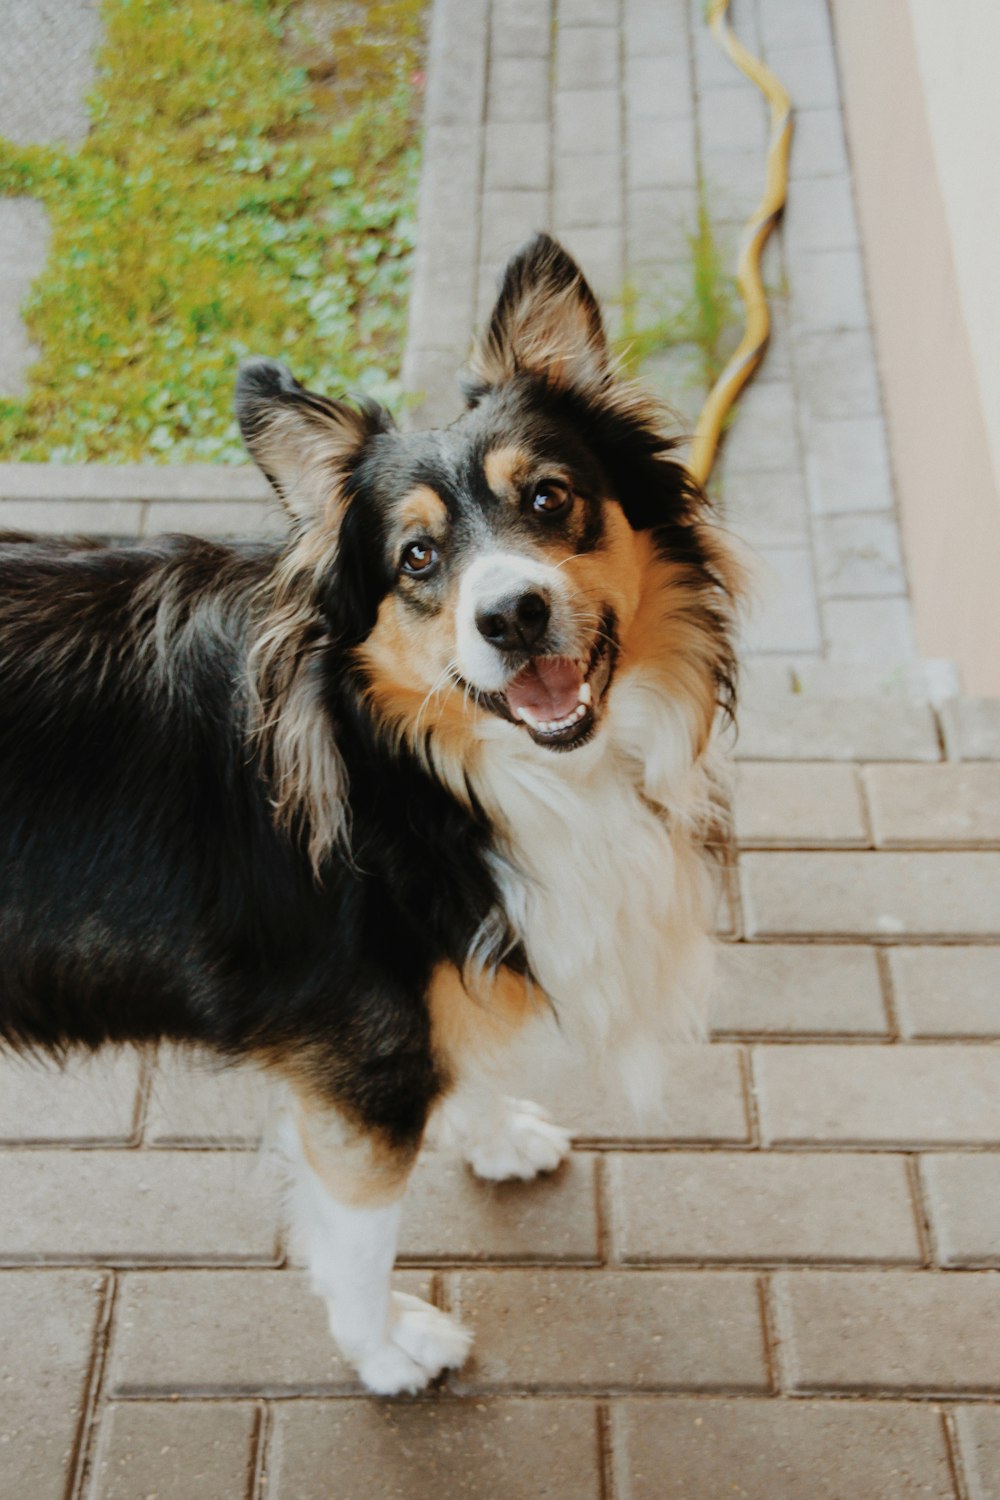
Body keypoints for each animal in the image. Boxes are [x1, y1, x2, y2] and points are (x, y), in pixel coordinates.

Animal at [0, 234, 734, 1392]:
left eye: (551, 499)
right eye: (417, 559)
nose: (512, 615)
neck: (418, 769)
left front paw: (493, 1135)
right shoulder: (358, 1055)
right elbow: (360, 1228)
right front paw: (384, 1346)